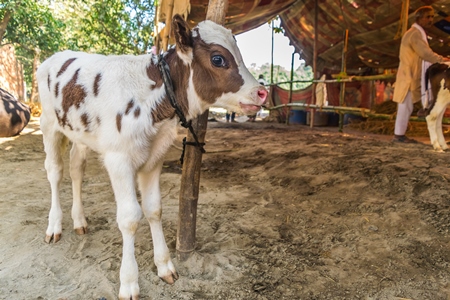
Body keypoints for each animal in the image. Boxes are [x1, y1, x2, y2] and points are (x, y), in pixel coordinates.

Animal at [36, 15, 268, 298]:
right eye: (218, 59)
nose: (262, 92)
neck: (151, 100)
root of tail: (56, 56)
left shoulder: (154, 158)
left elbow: (154, 209)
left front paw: (165, 265)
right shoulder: (118, 159)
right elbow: (129, 218)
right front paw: (128, 281)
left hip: (80, 135)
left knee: (76, 169)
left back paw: (79, 220)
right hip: (48, 124)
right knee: (55, 172)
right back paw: (54, 226)